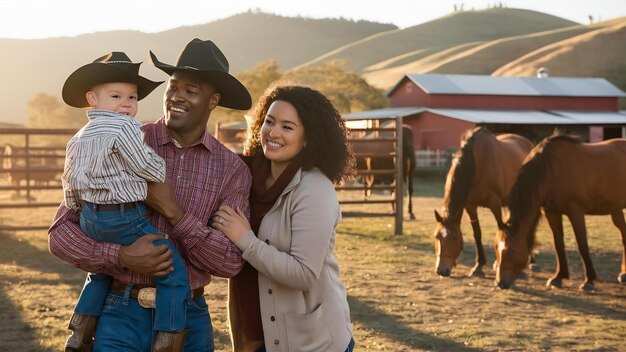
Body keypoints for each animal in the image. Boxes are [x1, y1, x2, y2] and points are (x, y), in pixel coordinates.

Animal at [434, 126, 532, 278]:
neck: (477, 163)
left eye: (455, 238)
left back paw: (531, 261)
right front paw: (478, 265)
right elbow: (477, 233)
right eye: (437, 236)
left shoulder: (495, 203)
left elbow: (500, 228)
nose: (441, 270)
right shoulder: (470, 206)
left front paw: (499, 264)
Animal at [492, 133, 624, 290]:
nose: (500, 283)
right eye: (496, 248)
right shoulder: (551, 212)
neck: (552, 171)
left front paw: (589, 280)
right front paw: (559, 277)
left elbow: (582, 244)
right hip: (616, 208)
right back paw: (623, 274)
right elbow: (558, 243)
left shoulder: (575, 210)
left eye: (511, 250)